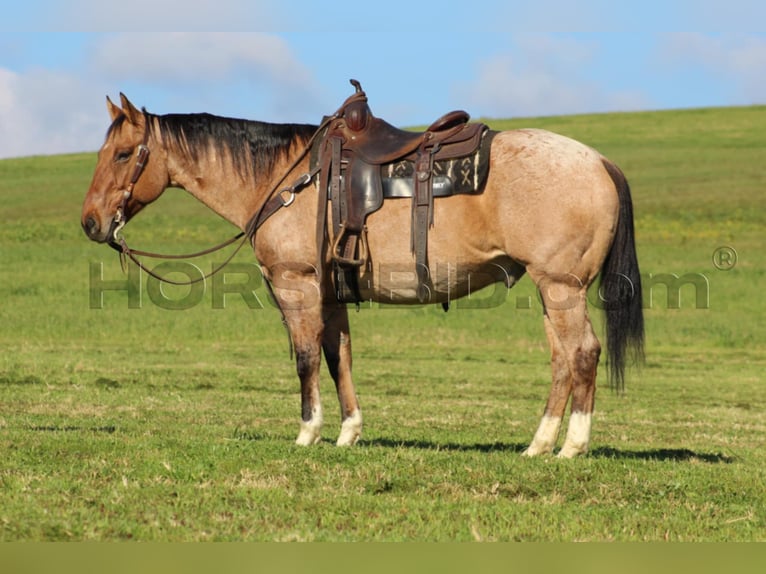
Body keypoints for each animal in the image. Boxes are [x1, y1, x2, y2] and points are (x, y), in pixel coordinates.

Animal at [81, 84, 644, 460]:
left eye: (125, 153)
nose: (91, 222)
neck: (287, 180)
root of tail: (598, 161)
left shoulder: (298, 284)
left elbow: (306, 358)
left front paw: (307, 432)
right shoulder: (331, 294)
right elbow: (339, 359)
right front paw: (348, 431)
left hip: (562, 287)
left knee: (583, 353)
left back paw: (572, 446)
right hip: (551, 291)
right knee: (562, 360)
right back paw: (539, 444)